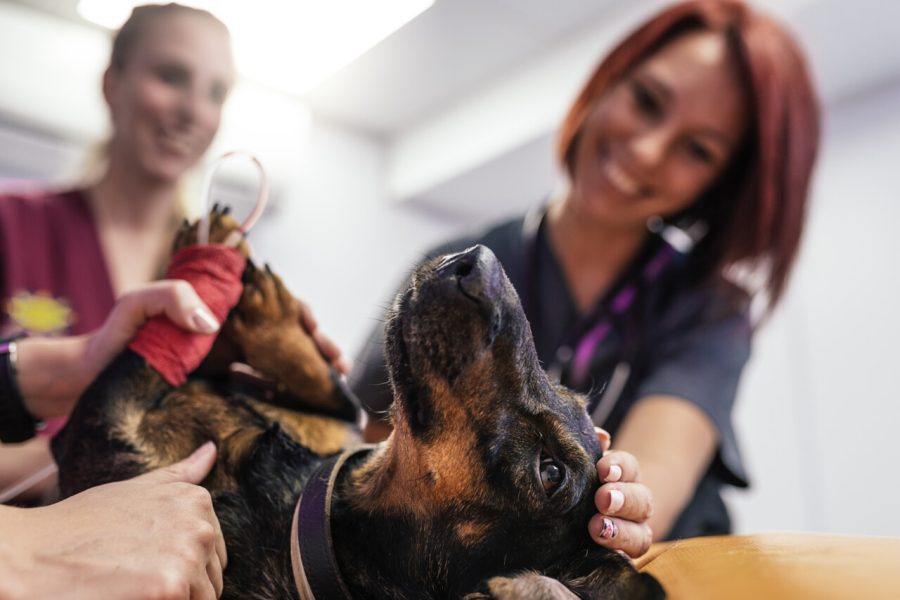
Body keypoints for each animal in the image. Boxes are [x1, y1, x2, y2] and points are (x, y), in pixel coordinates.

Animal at [52, 213, 664, 596]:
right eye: (566, 389)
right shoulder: (340, 429)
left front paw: (201, 287)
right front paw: (256, 303)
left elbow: (146, 352)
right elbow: (337, 397)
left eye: (550, 472)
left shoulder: (106, 434)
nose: (479, 260)